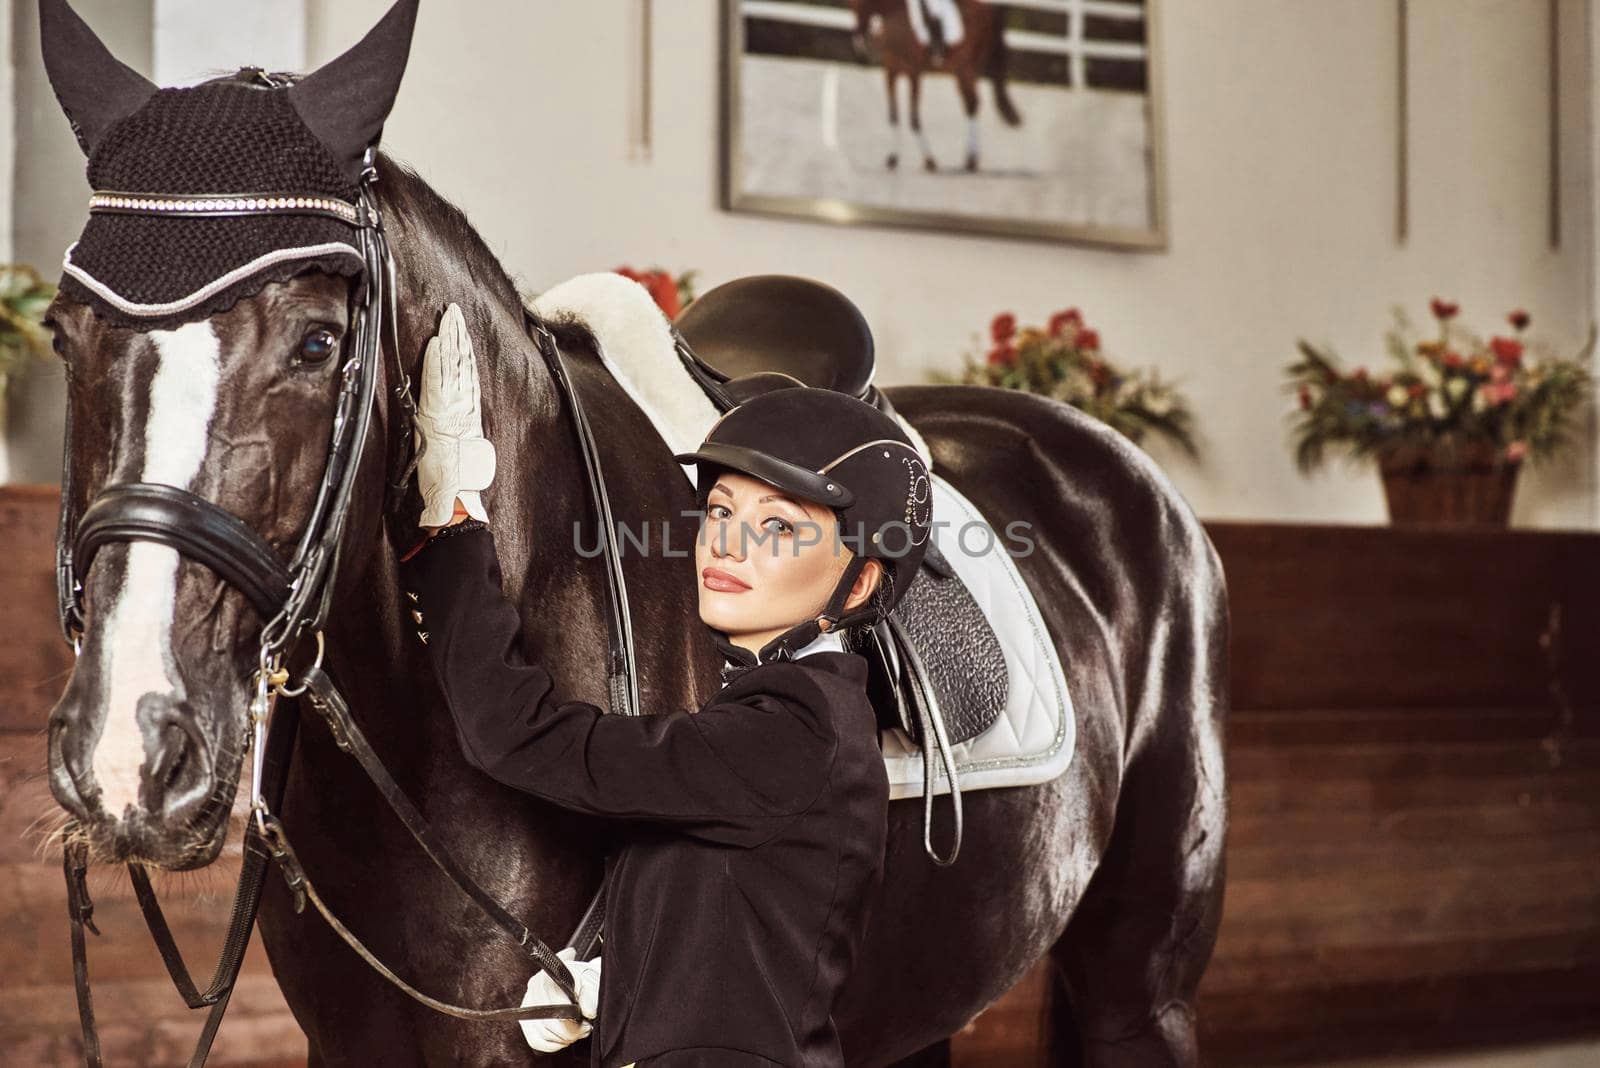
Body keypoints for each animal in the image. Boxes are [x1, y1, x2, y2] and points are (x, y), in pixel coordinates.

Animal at [851, 0, 1024, 171]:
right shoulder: (891, 71)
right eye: (853, 7)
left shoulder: (914, 72)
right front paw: (893, 158)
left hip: (969, 67)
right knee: (969, 103)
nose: (859, 44)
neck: (895, 14)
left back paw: (971, 159)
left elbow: (914, 119)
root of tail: (988, 10)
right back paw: (970, 159)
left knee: (973, 103)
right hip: (960, 69)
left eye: (863, 4)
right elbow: (893, 116)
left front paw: (929, 160)